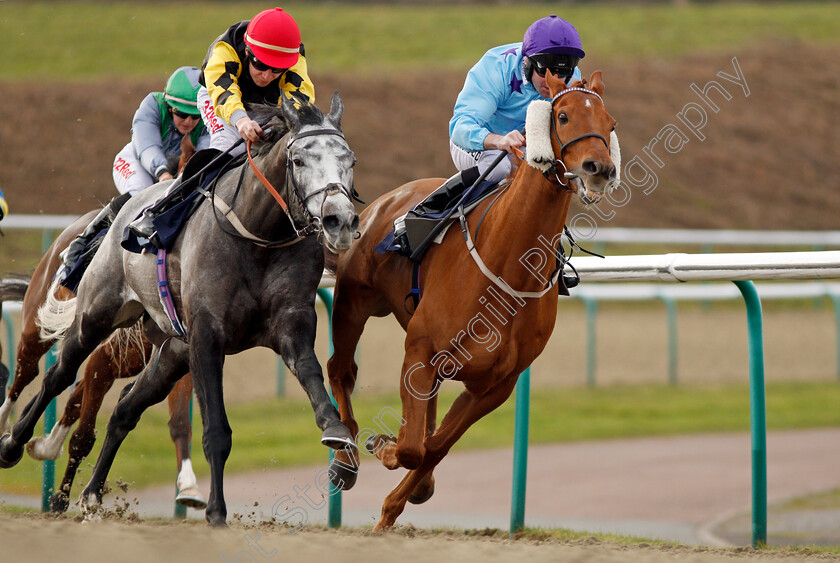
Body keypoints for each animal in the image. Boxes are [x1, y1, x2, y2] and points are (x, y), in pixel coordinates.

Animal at [0, 209, 205, 512]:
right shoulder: (103, 360)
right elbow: (83, 436)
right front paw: (62, 499)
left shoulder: (175, 359)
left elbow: (179, 421)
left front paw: (189, 487)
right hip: (38, 326)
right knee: (26, 374)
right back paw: (7, 425)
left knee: (70, 393)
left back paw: (42, 441)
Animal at [326, 70, 616, 528]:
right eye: (564, 115)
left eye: (610, 123)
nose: (599, 168)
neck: (507, 265)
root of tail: (386, 200)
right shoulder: (420, 349)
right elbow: (412, 448)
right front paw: (384, 447)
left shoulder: (495, 385)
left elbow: (434, 447)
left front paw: (396, 503)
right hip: (355, 301)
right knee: (341, 370)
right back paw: (345, 457)